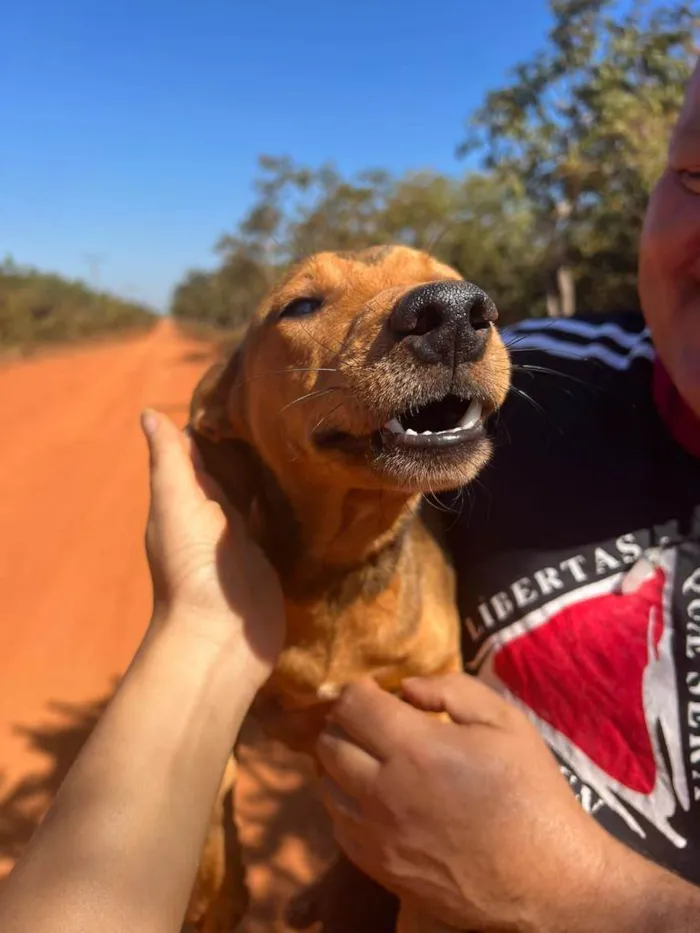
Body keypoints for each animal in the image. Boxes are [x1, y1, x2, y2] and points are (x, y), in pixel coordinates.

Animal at [183, 246, 512, 932]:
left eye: (444, 274)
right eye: (300, 305)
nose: (453, 311)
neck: (343, 567)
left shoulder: (432, 687)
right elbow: (216, 781)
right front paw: (217, 889)